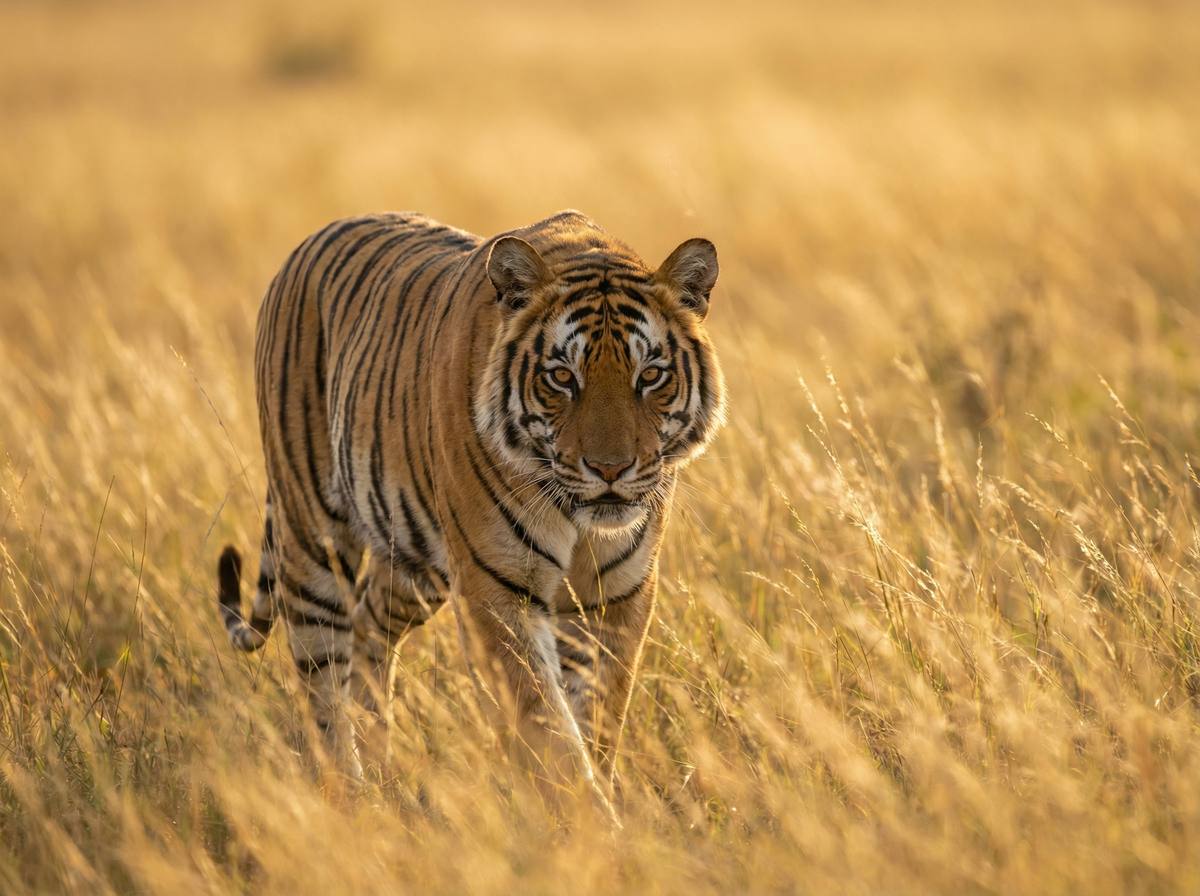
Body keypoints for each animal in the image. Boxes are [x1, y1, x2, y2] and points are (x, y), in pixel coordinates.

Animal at [217, 210, 726, 790]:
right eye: (561, 377)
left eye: (651, 376)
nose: (610, 470)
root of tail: (310, 240)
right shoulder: (498, 593)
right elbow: (547, 725)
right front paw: (582, 807)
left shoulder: (616, 594)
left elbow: (599, 716)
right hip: (313, 536)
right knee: (321, 676)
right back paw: (346, 788)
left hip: (415, 566)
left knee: (369, 627)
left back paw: (381, 758)